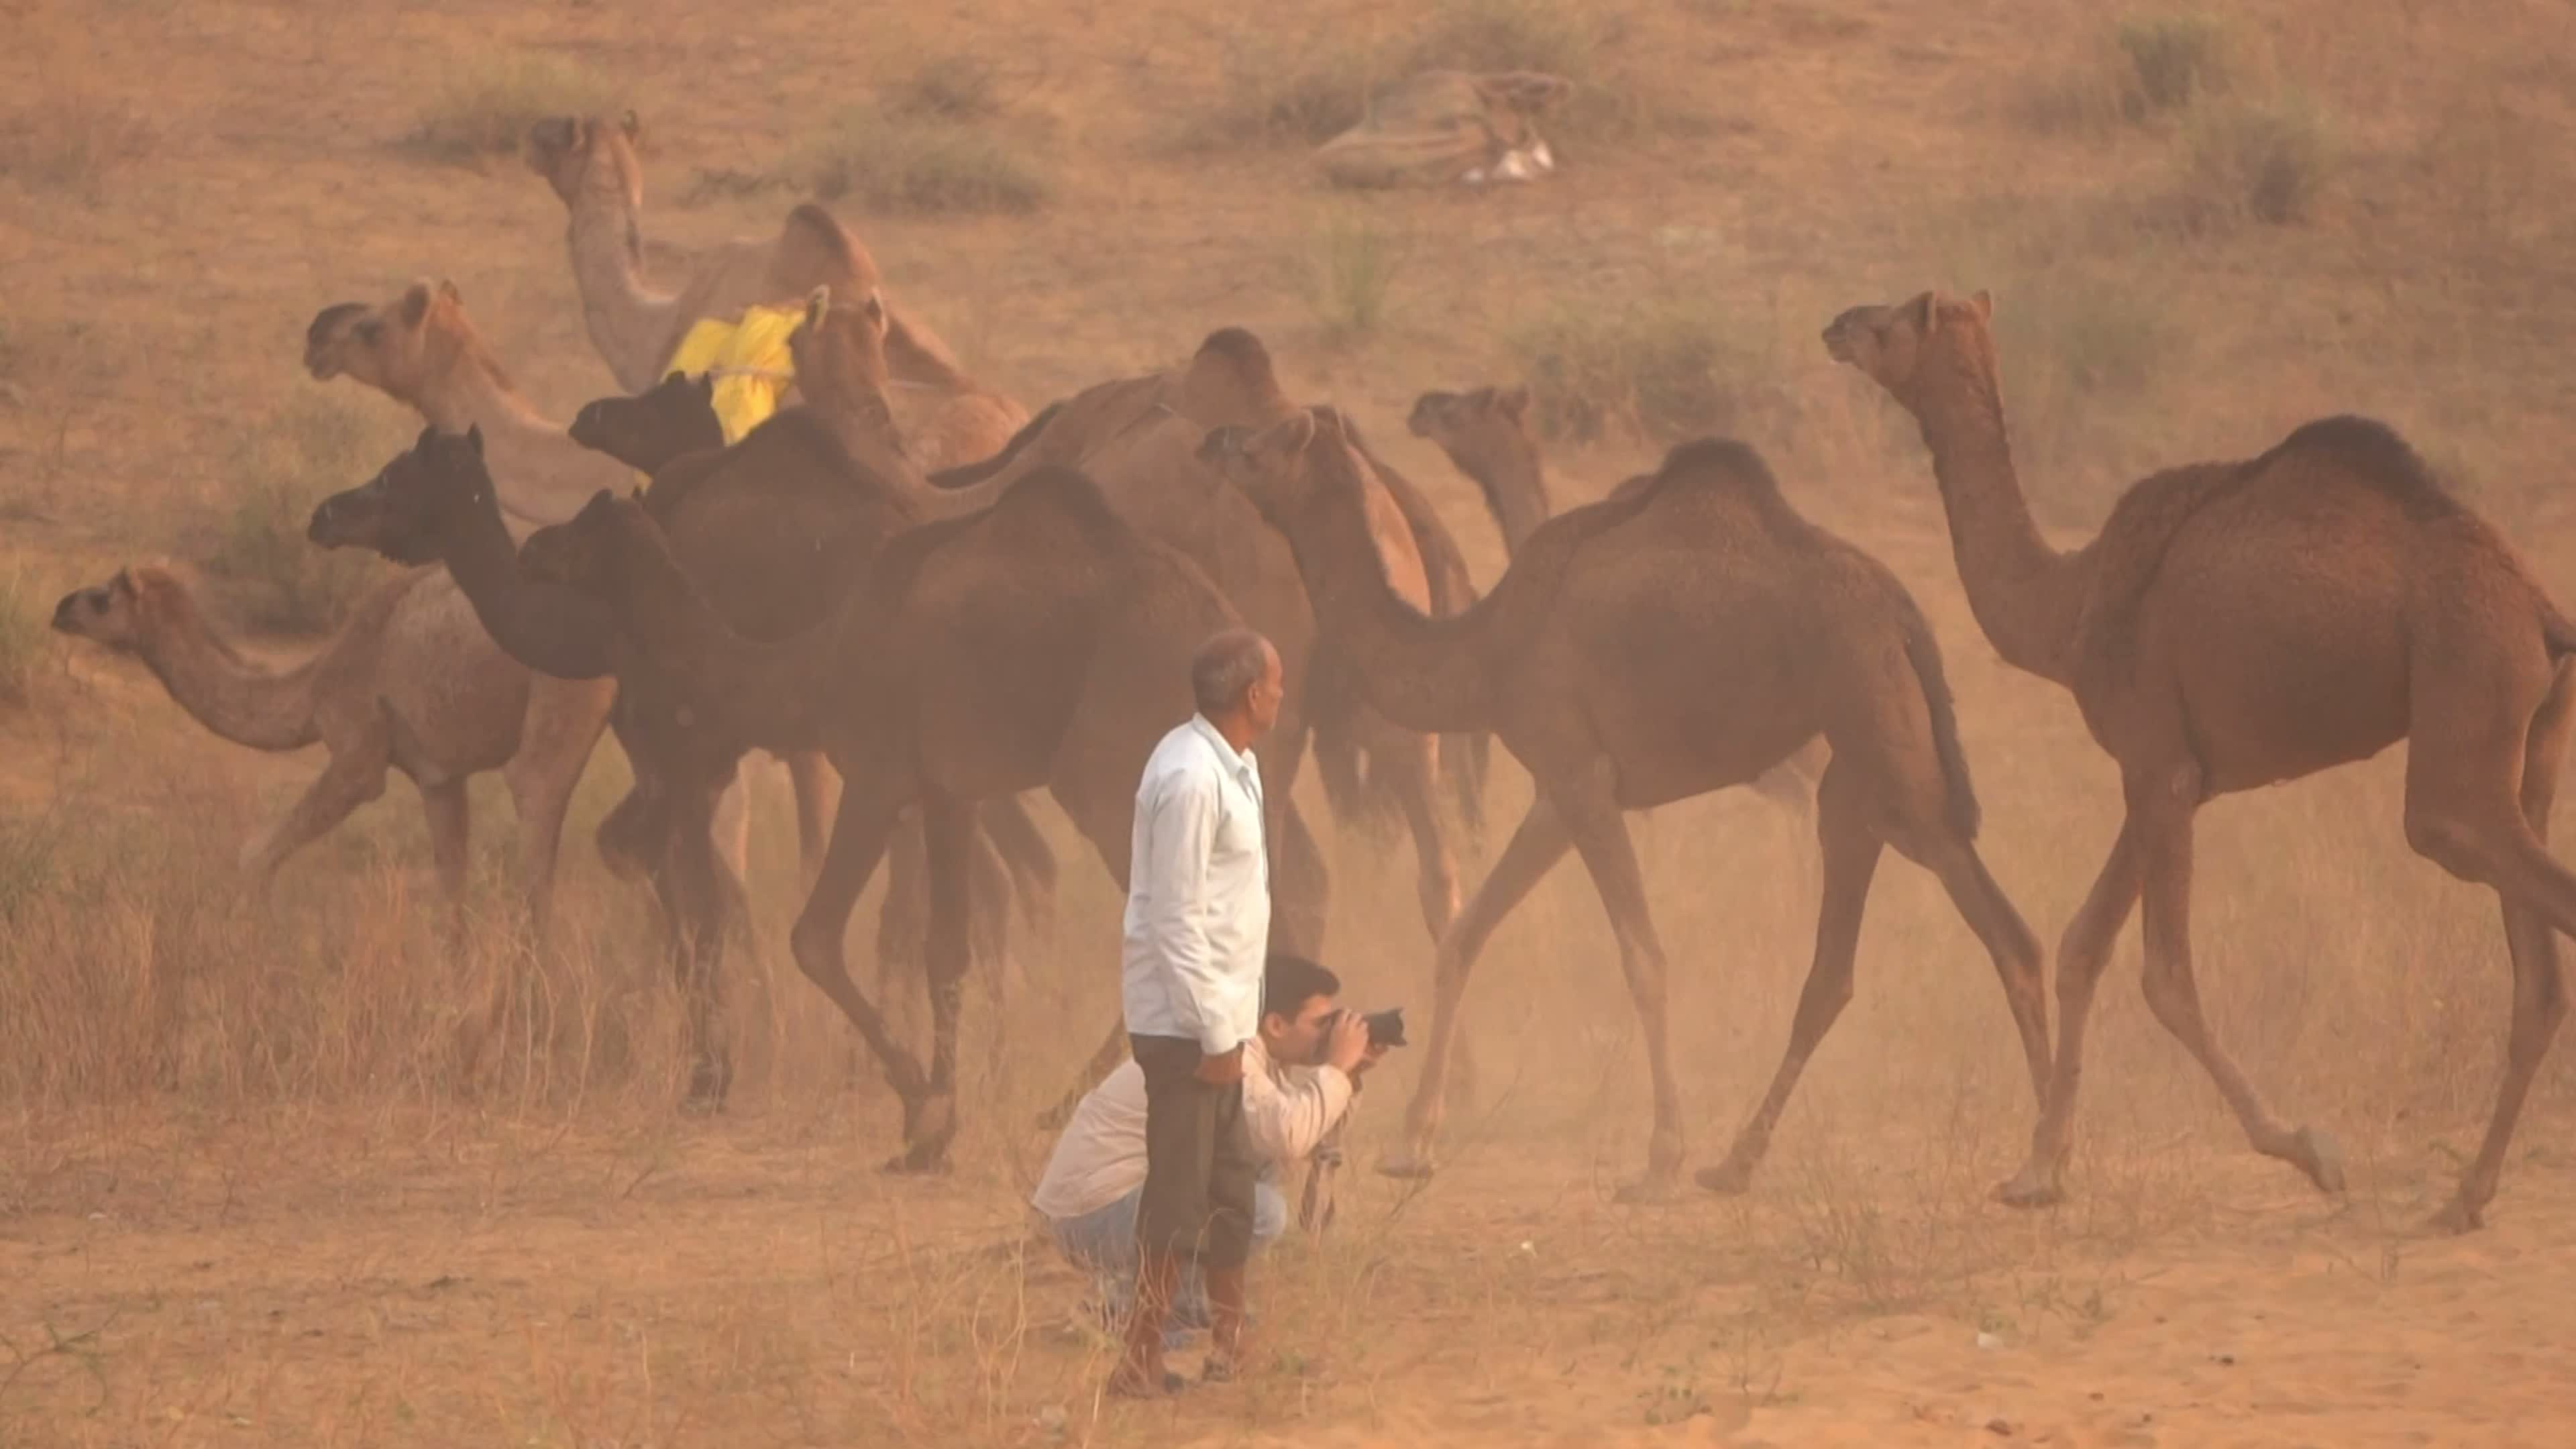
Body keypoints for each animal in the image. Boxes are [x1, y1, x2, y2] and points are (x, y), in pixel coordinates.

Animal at [51, 562, 610, 942]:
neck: (313, 683)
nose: (59, 609)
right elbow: (451, 888)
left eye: (101, 598)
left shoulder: (357, 750)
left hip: (564, 685)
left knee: (536, 793)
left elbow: (256, 854)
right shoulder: (439, 774)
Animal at [513, 458, 1249, 1170]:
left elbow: (814, 936)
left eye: (582, 528)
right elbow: (945, 950)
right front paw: (937, 1129)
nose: (531, 546)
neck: (812, 669)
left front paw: (919, 1106)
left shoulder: (876, 774)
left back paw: (1078, 1104)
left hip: (1107, 774)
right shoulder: (950, 790)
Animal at [1201, 408, 2051, 1197]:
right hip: (1863, 778)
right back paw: (1755, 1161)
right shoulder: (1558, 789)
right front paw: (1414, 1145)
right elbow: (1465, 938)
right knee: (1889, 956)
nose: (1216, 443)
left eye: (1268, 440)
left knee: (1988, 930)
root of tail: (1905, 615)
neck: (1489, 650)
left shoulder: (1582, 778)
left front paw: (1660, 1157)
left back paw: (2039, 1164)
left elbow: (1643, 958)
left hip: (1881, 730)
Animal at [1827, 289, 2576, 1232]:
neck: (2068, 607)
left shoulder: (2158, 766)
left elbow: (2166, 977)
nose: (1836, 328)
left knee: (2480, 861)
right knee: (2538, 981)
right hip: (2526, 746)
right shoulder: (2170, 774)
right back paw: (2466, 1196)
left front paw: (2311, 1150)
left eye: (1895, 317)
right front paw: (2036, 1173)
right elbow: (2082, 946)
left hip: (2463, 710)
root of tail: (2543, 616)